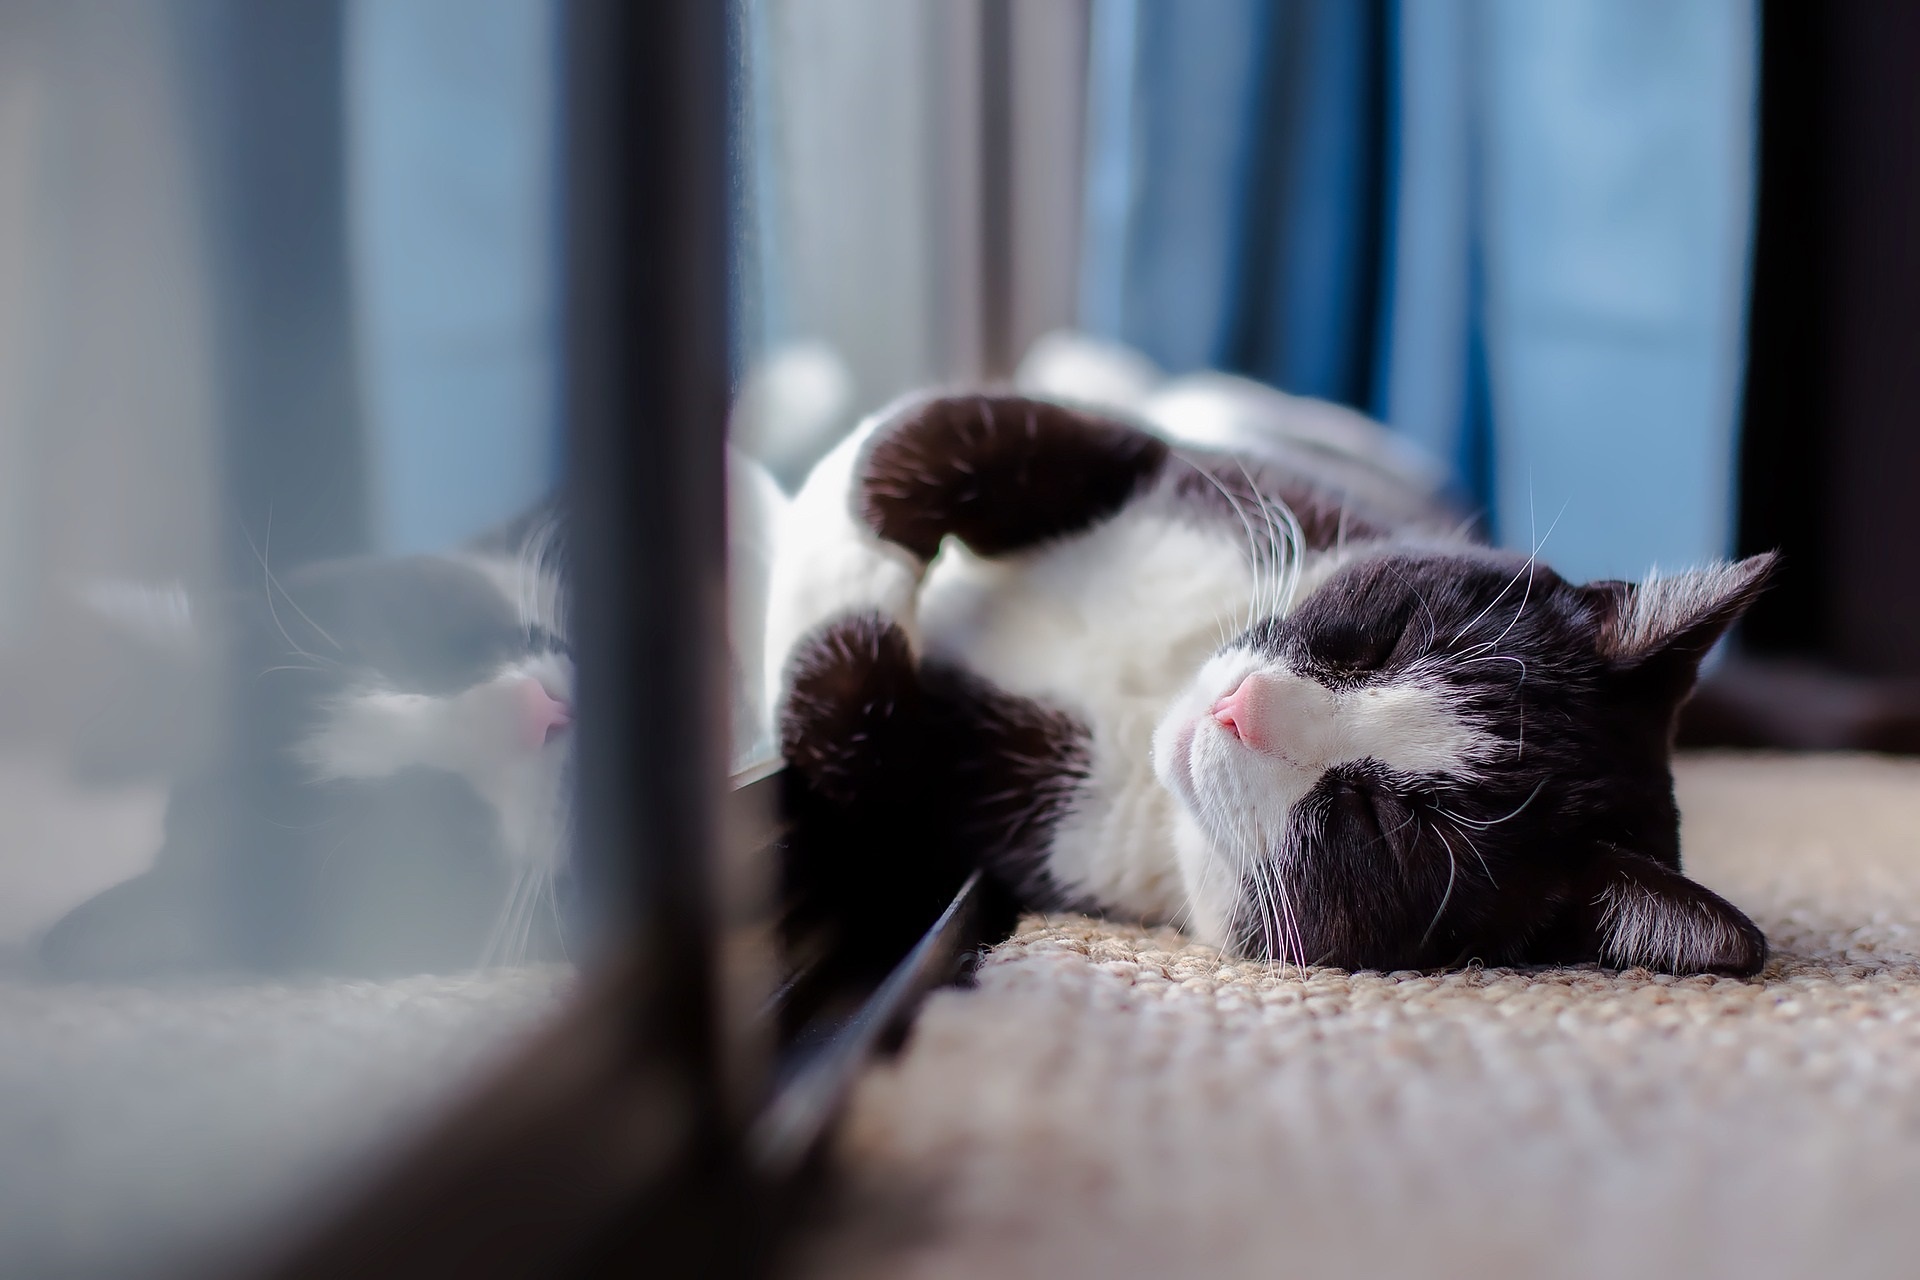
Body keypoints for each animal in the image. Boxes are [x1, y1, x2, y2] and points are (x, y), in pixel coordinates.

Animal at [760, 391, 1766, 982]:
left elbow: (852, 732)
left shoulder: (1006, 826)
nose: (1238, 710)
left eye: (1386, 823)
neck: (1153, 688)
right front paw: (825, 503)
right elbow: (939, 434)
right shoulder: (1197, 474)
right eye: (1390, 641)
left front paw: (814, 566)